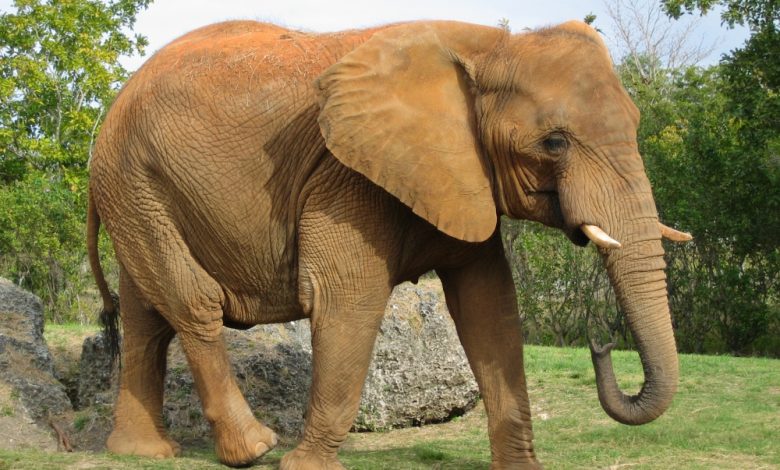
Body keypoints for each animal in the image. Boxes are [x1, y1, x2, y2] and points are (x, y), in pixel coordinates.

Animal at [87, 19, 692, 469]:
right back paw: (254, 449)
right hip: (134, 181)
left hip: (138, 189)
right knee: (192, 304)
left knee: (146, 317)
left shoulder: (459, 173)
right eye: (555, 142)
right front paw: (304, 466)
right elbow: (347, 299)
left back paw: (143, 451)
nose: (601, 343)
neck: (490, 46)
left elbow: (489, 307)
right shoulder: (347, 176)